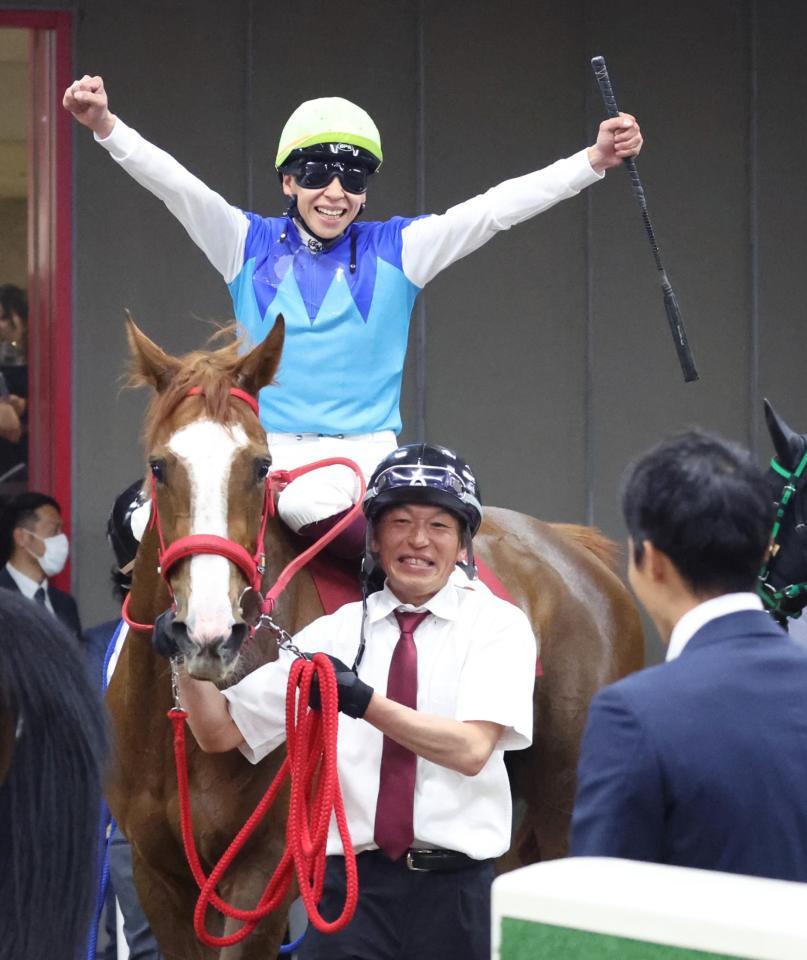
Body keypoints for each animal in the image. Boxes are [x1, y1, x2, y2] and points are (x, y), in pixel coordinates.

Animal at [112, 316, 644, 960]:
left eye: (260, 466)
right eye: (160, 465)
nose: (209, 633)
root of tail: (575, 555)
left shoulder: (260, 872)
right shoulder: (159, 877)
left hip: (566, 812)